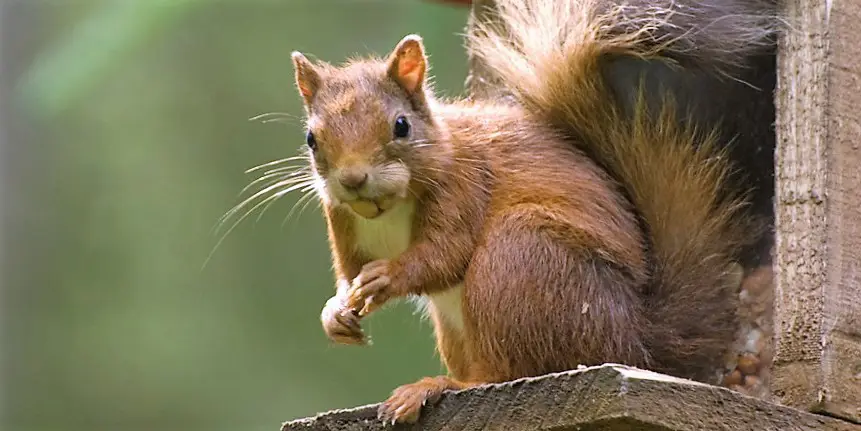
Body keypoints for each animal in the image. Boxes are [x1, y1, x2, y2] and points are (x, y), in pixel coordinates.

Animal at [286, 0, 776, 426]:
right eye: (312, 138)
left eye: (401, 126)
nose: (353, 179)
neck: (387, 209)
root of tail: (635, 340)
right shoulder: (340, 218)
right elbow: (349, 273)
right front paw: (336, 313)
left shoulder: (466, 187)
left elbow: (445, 253)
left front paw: (387, 277)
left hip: (519, 258)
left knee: (499, 374)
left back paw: (439, 385)